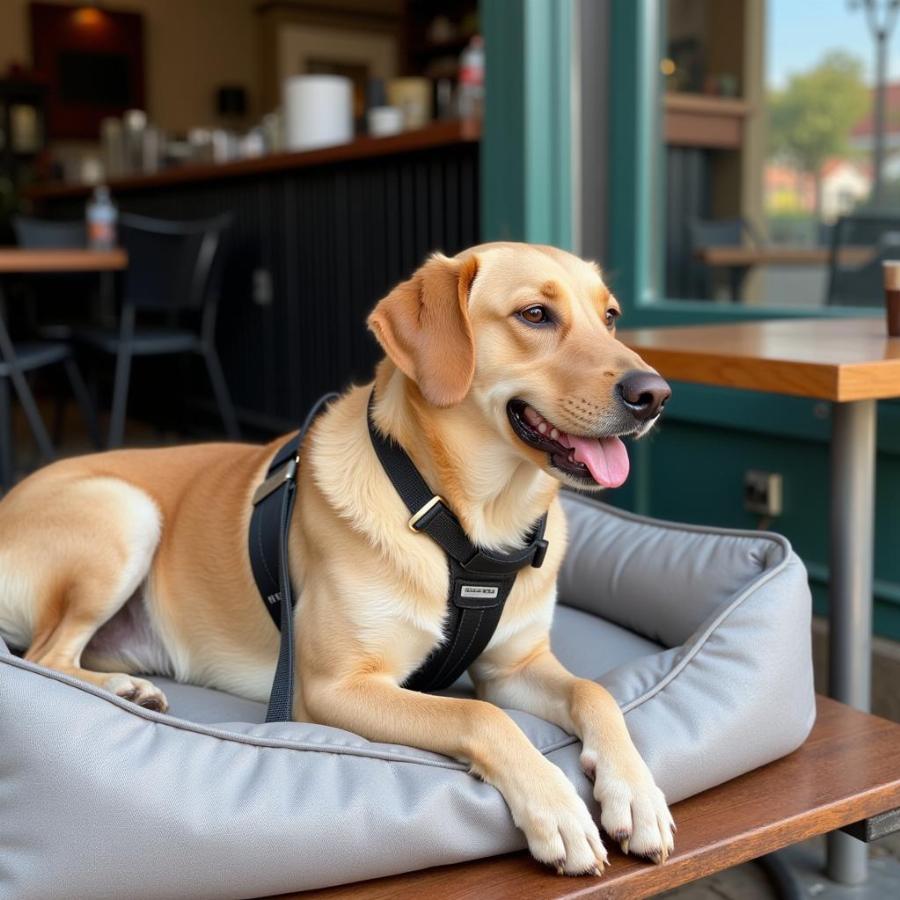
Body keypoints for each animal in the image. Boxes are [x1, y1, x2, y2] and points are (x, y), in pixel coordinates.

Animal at [0, 243, 676, 876]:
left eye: (610, 317)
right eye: (535, 314)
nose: (655, 394)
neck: (466, 526)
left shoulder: (515, 666)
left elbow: (594, 692)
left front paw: (637, 792)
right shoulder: (335, 689)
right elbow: (480, 715)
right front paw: (557, 808)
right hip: (125, 512)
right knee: (46, 657)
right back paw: (122, 690)